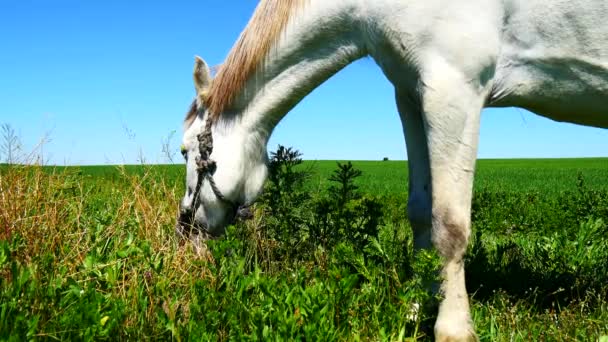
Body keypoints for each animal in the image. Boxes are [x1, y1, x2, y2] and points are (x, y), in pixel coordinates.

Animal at [176, 1, 608, 340]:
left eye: (184, 151)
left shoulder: (454, 88)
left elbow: (450, 224)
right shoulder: (413, 95)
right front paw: (417, 310)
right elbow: (421, 214)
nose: (186, 228)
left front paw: (452, 328)